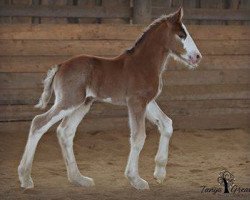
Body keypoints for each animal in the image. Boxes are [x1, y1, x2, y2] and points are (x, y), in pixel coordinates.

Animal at [18, 7, 201, 190]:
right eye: (181, 35)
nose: (197, 56)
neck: (143, 64)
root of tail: (60, 66)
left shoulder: (147, 102)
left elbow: (166, 124)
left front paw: (160, 173)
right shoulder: (136, 102)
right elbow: (138, 137)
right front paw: (136, 179)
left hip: (83, 104)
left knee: (65, 132)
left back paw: (79, 179)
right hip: (69, 101)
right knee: (39, 123)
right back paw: (25, 178)